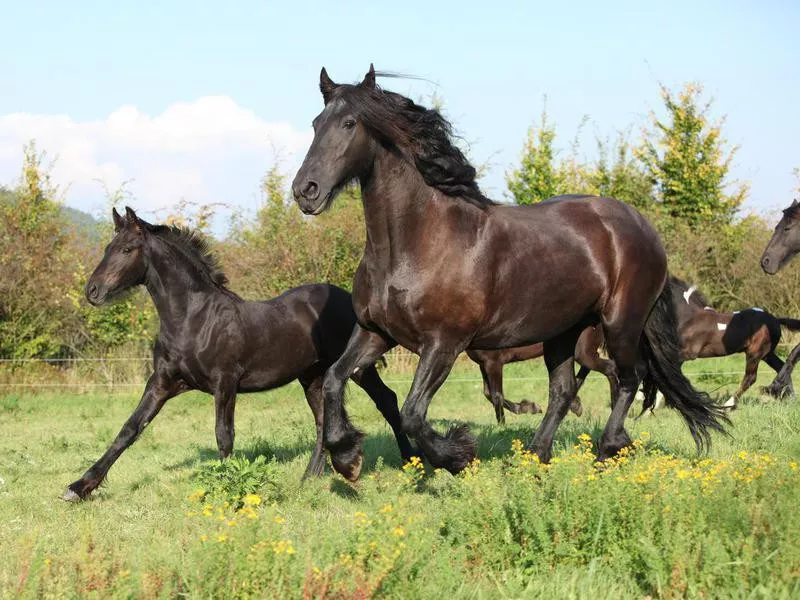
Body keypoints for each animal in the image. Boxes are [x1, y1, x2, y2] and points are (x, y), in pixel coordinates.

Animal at [61, 209, 412, 500]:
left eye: (126, 249)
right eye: (107, 248)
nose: (92, 291)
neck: (193, 318)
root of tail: (345, 298)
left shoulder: (225, 382)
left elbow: (224, 435)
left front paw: (228, 487)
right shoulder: (162, 383)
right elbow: (130, 429)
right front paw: (79, 487)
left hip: (358, 367)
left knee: (387, 400)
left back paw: (410, 460)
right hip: (312, 377)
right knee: (322, 419)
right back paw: (309, 478)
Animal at [292, 64, 724, 482]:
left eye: (350, 123)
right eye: (315, 123)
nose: (305, 191)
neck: (416, 245)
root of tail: (642, 226)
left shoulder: (444, 343)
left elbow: (414, 413)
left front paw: (459, 457)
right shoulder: (375, 332)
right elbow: (334, 379)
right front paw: (347, 458)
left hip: (620, 322)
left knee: (627, 379)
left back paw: (607, 451)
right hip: (564, 331)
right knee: (564, 392)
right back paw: (535, 459)